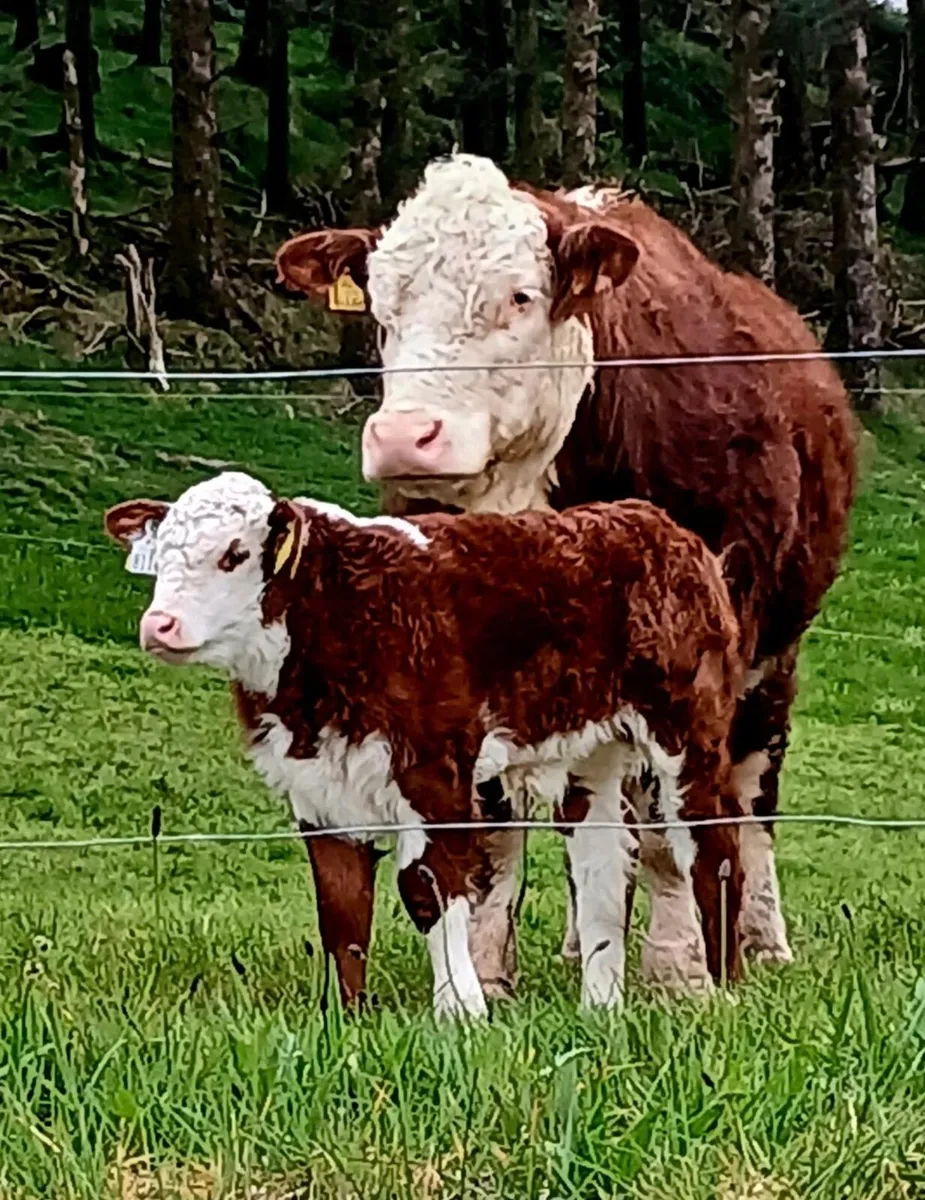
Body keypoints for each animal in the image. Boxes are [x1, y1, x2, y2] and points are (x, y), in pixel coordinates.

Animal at [105, 470, 745, 1018]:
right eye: (161, 557)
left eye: (233, 554)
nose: (158, 626)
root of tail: (654, 522)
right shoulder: (317, 791)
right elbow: (340, 905)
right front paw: (347, 1018)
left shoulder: (435, 772)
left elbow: (427, 889)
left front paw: (461, 1010)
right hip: (592, 754)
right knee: (603, 866)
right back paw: (601, 1006)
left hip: (690, 733)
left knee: (711, 850)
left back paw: (723, 993)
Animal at [274, 153, 857, 998]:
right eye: (381, 308)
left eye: (519, 295)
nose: (406, 437)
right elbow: (494, 828)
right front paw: (485, 969)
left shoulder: (691, 658)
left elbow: (669, 824)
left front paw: (677, 970)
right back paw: (583, 944)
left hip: (768, 660)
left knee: (750, 785)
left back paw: (761, 938)